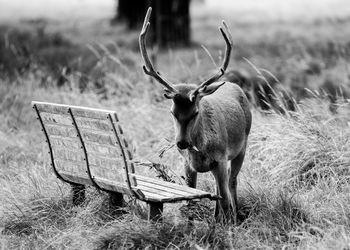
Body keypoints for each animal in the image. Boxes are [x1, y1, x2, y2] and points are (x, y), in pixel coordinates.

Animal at [139, 7, 252, 223]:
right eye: (172, 112)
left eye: (196, 112)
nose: (182, 143)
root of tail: (234, 84)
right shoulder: (187, 164)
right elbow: (190, 200)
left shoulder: (221, 158)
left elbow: (225, 201)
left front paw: (228, 226)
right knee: (220, 189)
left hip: (242, 147)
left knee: (232, 183)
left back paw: (236, 216)